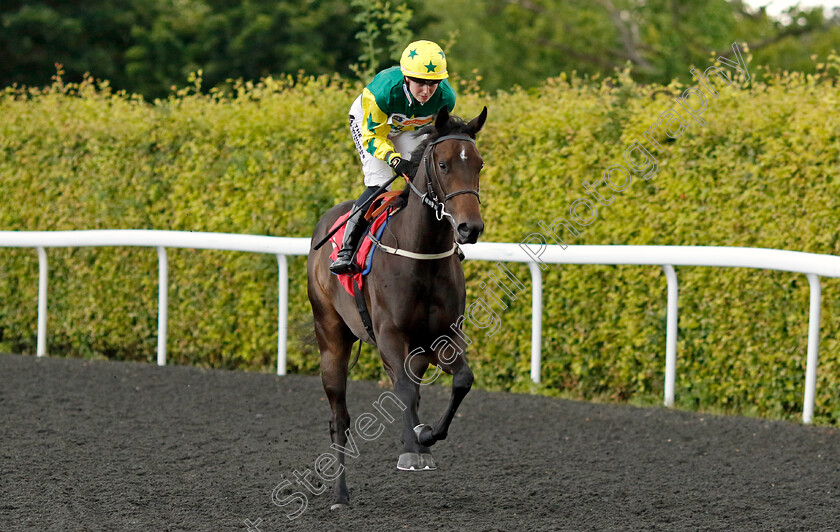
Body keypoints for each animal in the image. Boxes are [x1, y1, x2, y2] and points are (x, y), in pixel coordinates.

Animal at [306, 106, 488, 510]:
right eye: (443, 164)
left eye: (479, 164)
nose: (470, 228)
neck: (420, 253)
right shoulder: (390, 334)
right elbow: (403, 392)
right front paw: (418, 439)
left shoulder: (442, 337)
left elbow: (461, 381)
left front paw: (426, 438)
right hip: (331, 339)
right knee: (339, 418)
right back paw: (339, 494)